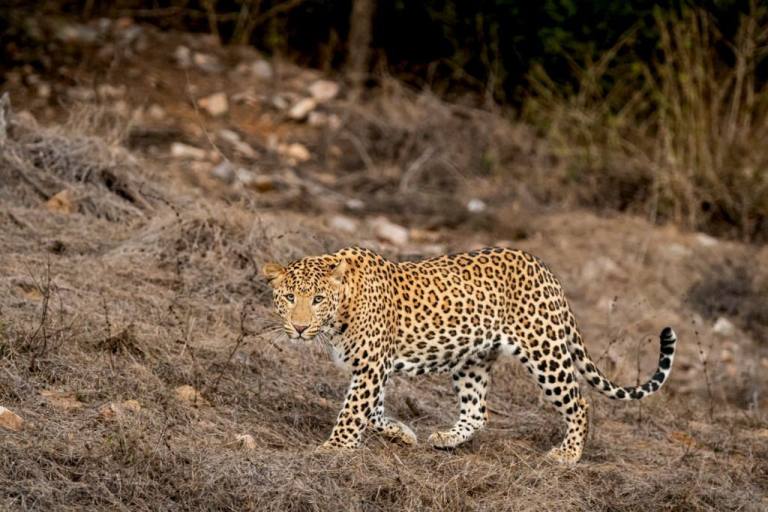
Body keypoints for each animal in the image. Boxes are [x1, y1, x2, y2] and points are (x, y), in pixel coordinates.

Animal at [262, 246, 677, 463]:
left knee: (580, 401)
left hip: (544, 350)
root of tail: (546, 269)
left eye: (318, 299)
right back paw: (446, 438)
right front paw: (403, 435)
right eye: (289, 297)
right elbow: (373, 410)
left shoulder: (371, 367)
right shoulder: (371, 370)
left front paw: (333, 448)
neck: (340, 311)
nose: (299, 327)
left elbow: (352, 410)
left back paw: (568, 454)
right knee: (478, 412)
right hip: (473, 359)